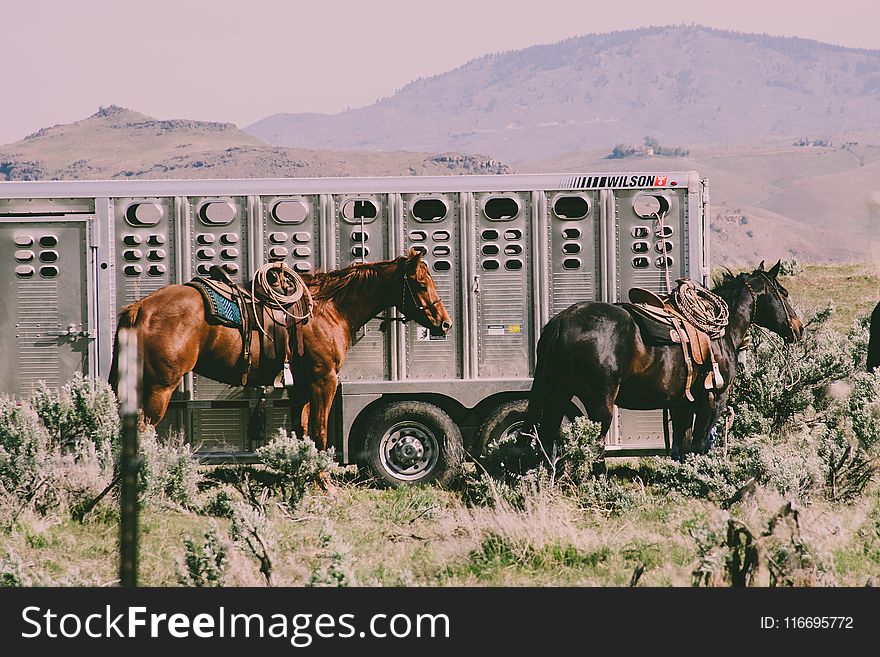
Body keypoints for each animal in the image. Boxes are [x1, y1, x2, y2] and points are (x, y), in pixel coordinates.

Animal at [524, 258, 804, 458]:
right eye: (784, 293)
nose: (798, 328)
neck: (721, 332)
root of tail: (563, 320)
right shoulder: (713, 400)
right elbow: (699, 445)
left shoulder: (681, 404)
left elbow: (682, 447)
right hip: (599, 407)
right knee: (590, 448)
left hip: (558, 394)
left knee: (546, 440)